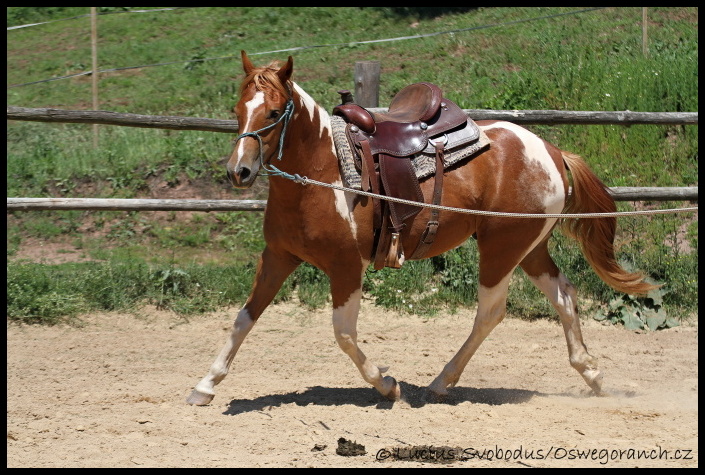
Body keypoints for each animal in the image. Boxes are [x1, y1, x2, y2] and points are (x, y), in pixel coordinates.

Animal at [184, 53, 652, 410]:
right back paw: (591, 373)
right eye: (237, 111)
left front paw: (387, 385)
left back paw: (441, 382)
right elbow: (244, 318)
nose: (239, 171)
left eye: (273, 111)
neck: (322, 171)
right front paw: (205, 385)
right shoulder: (278, 257)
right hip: (528, 248)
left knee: (491, 312)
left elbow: (344, 334)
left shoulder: (345, 267)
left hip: (501, 249)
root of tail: (552, 151)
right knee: (564, 295)